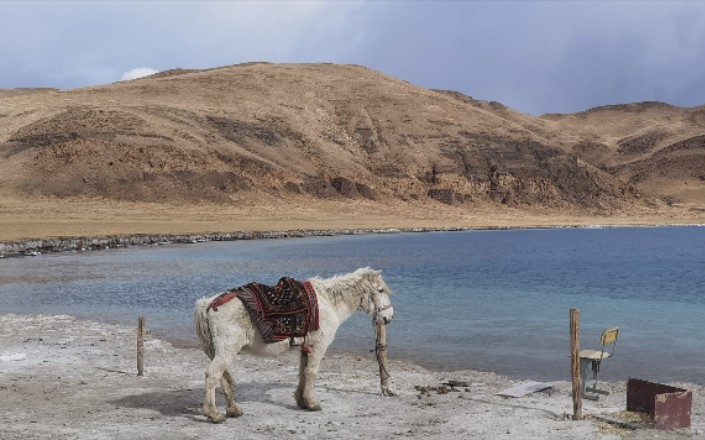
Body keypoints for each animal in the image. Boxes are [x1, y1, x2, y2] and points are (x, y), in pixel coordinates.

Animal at [192, 266, 394, 422]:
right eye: (380, 291)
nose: (389, 318)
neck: (328, 301)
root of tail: (208, 305)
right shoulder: (318, 347)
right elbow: (312, 373)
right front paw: (312, 404)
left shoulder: (306, 348)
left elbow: (303, 373)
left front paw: (302, 401)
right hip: (227, 350)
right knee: (212, 375)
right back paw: (214, 414)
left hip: (219, 352)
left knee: (223, 378)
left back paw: (233, 410)